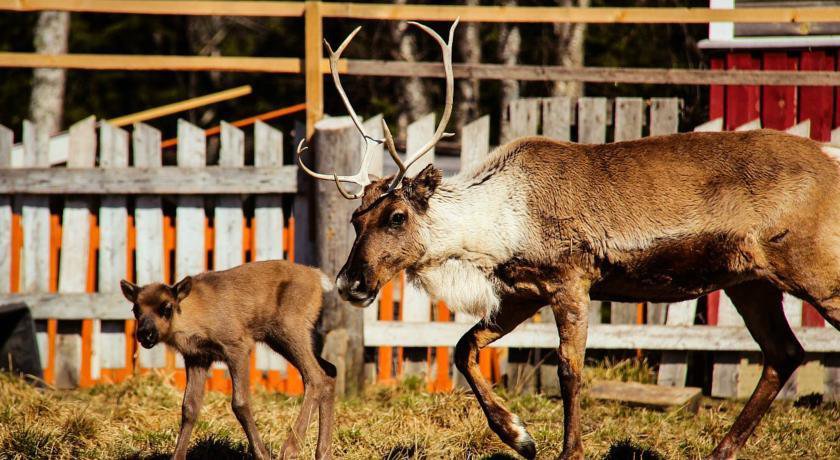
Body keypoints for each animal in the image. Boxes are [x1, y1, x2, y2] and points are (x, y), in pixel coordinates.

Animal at [120, 258, 336, 460]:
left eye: (167, 307)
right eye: (135, 310)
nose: (145, 334)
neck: (193, 319)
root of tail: (319, 278)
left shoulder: (237, 346)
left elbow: (240, 403)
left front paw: (262, 453)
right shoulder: (197, 357)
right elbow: (189, 407)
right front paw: (177, 456)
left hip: (290, 328)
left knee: (316, 377)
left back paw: (290, 448)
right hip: (278, 338)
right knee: (330, 371)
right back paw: (323, 452)